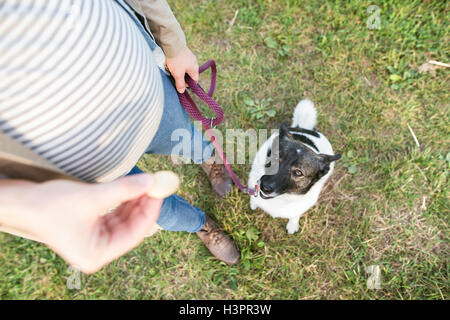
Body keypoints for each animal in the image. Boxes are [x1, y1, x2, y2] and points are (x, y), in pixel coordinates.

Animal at [248, 100, 340, 235]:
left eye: (298, 173)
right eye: (275, 158)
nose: (264, 187)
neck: (282, 198)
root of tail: (303, 128)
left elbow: (295, 216)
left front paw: (292, 224)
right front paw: (253, 203)